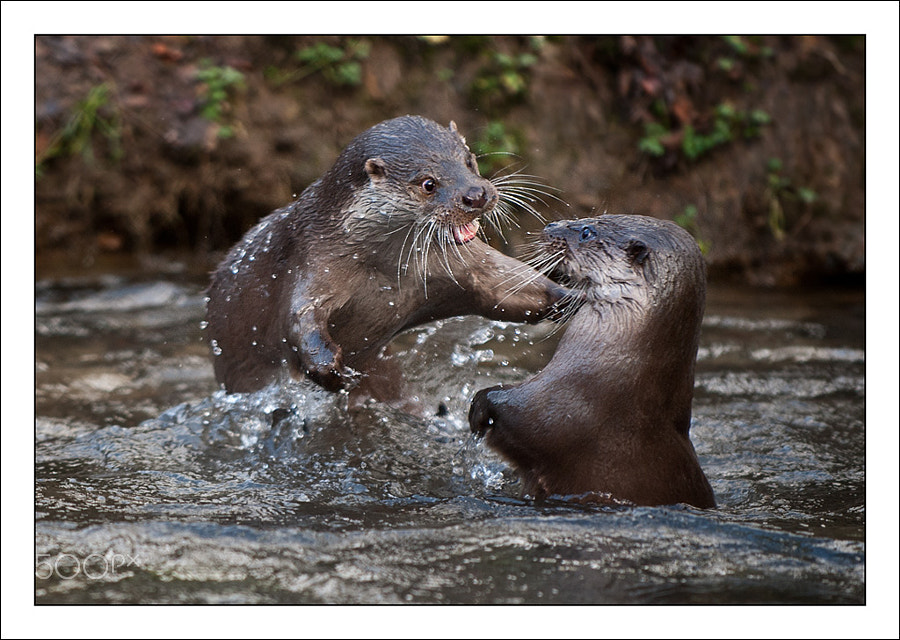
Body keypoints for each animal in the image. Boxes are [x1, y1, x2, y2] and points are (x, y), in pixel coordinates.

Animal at [207, 114, 568, 396]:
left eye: (469, 161)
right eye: (428, 184)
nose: (476, 194)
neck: (386, 273)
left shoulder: (464, 267)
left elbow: (511, 289)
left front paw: (568, 297)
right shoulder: (313, 261)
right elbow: (300, 319)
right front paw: (328, 367)